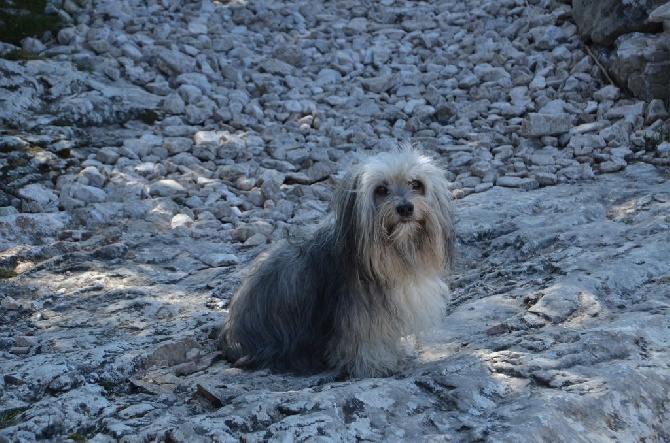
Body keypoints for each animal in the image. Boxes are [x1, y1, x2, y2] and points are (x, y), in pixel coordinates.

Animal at [220, 145, 456, 378]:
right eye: (380, 189)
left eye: (416, 184)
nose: (405, 208)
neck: (394, 253)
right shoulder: (359, 315)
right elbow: (366, 341)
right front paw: (377, 364)